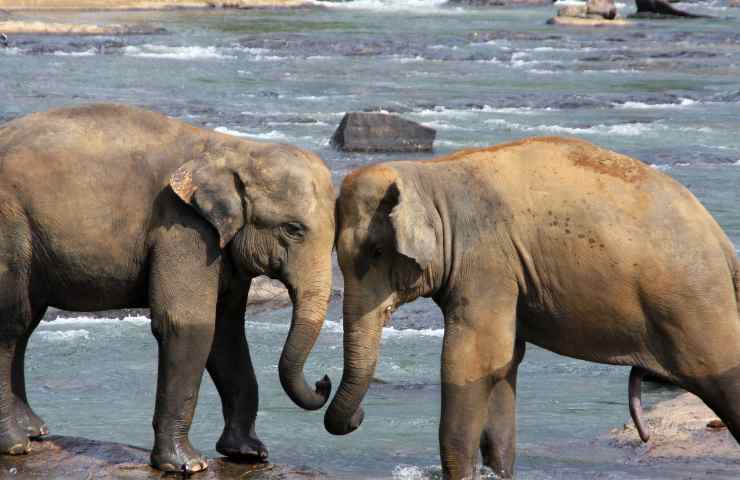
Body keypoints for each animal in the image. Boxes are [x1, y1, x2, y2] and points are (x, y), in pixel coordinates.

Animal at [0, 104, 336, 472]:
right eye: (293, 229)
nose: (323, 381)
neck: (236, 148)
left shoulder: (221, 248)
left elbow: (226, 332)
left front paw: (248, 453)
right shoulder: (182, 227)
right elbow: (188, 325)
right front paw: (188, 465)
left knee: (25, 322)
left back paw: (34, 431)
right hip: (9, 223)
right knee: (12, 321)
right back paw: (15, 445)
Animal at [326, 136, 740, 480]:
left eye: (376, 252)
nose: (358, 414)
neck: (431, 176)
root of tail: (721, 241)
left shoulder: (487, 261)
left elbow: (473, 360)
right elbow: (506, 362)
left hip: (696, 304)